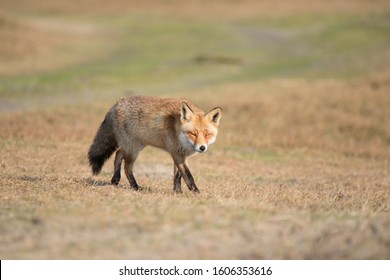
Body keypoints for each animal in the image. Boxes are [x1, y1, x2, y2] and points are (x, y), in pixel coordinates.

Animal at [88, 95, 222, 192]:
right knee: (127, 167)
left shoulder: (179, 154)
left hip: (134, 145)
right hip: (133, 149)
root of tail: (116, 104)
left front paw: (177, 192)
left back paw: (115, 180)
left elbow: (178, 176)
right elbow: (188, 176)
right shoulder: (177, 154)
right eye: (193, 133)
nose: (202, 147)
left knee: (118, 153)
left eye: (207, 134)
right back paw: (135, 186)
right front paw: (196, 193)